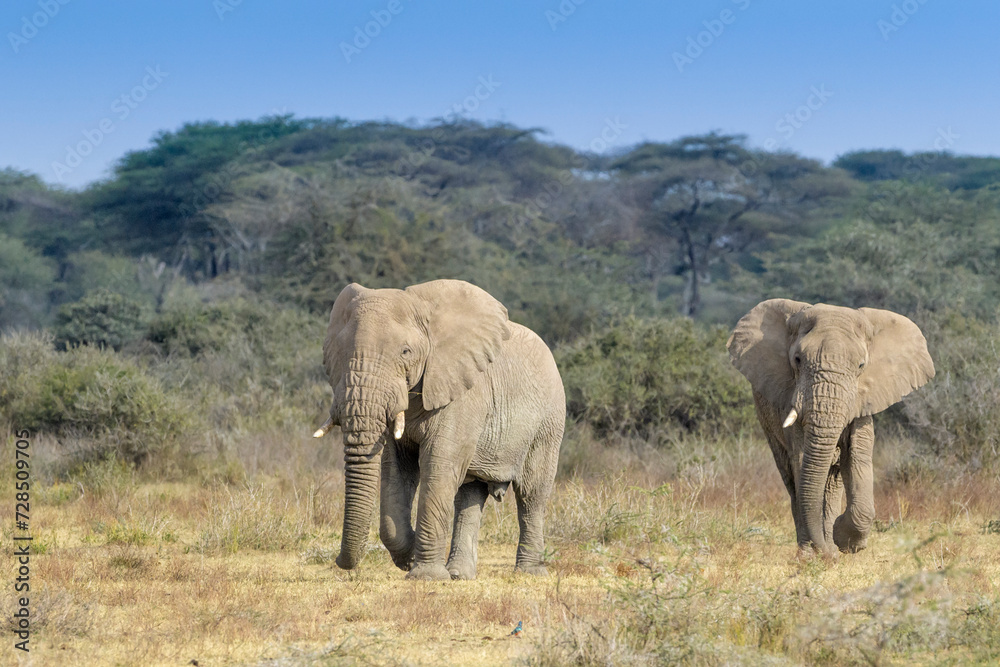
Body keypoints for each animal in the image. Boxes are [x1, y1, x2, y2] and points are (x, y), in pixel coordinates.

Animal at [312, 278, 564, 580]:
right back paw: (459, 575)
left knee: (532, 494)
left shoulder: (463, 393)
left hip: (549, 421)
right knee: (470, 494)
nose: (339, 561)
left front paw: (425, 575)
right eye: (338, 354)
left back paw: (529, 573)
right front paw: (410, 557)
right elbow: (396, 470)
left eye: (405, 352)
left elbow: (439, 466)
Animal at [724, 302, 932, 560]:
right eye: (797, 360)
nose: (828, 554)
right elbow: (802, 463)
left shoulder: (862, 406)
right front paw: (817, 553)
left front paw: (842, 540)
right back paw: (811, 551)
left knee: (832, 481)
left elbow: (856, 459)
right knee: (792, 479)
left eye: (861, 366)